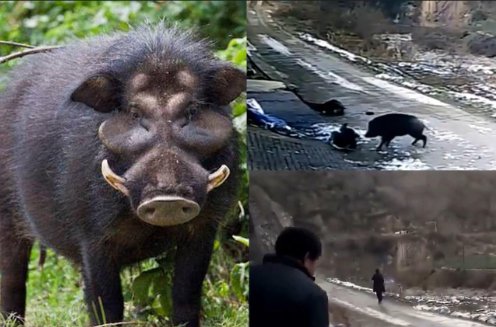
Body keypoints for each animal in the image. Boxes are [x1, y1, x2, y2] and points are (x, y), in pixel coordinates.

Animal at [0, 25, 246, 327]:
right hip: (7, 219)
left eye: (192, 110)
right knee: (12, 276)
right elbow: (106, 303)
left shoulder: (203, 228)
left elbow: (186, 293)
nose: (168, 199)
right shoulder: (92, 236)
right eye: (134, 111)